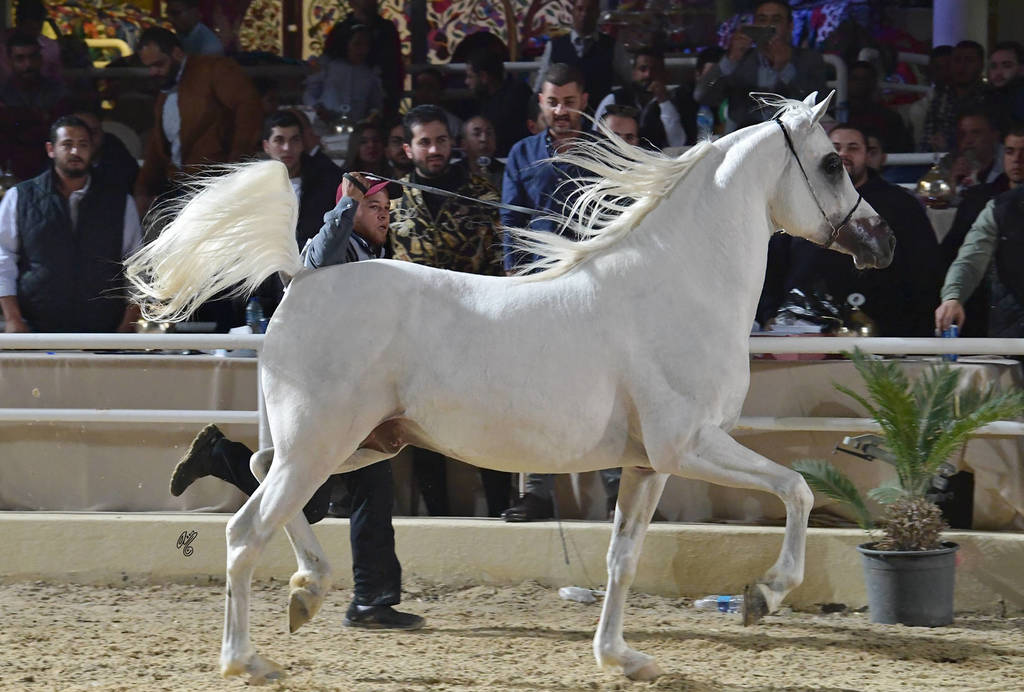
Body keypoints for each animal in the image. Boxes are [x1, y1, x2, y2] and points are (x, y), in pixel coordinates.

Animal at [126, 91, 894, 684]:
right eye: (832, 162)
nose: (880, 241)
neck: (677, 285)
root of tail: (304, 275)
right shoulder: (690, 446)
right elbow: (796, 489)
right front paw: (764, 594)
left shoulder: (648, 464)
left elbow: (622, 559)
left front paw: (622, 658)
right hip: (321, 445)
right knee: (244, 529)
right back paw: (247, 660)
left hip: (358, 443)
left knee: (259, 472)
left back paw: (305, 593)